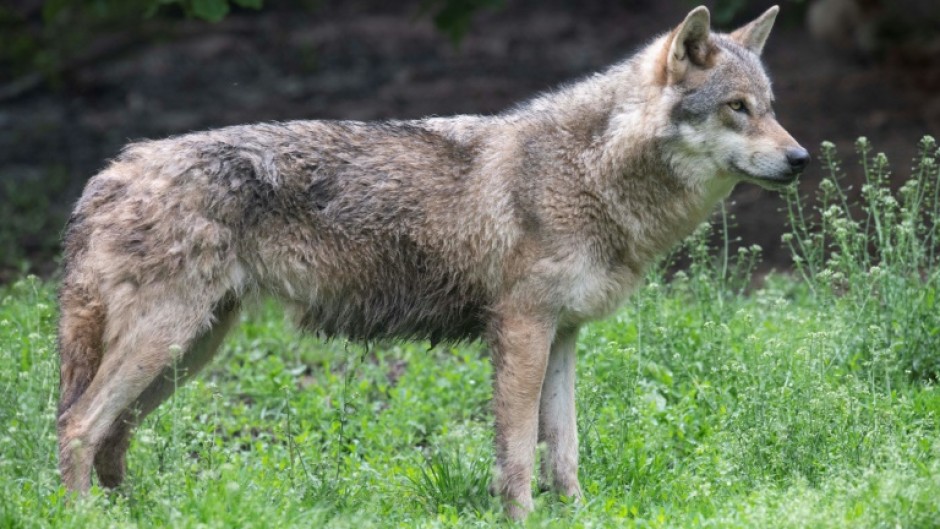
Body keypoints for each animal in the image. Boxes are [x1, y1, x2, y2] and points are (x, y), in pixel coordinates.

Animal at [56, 5, 807, 519]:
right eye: (737, 108)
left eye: (771, 108)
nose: (800, 158)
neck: (588, 172)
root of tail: (109, 173)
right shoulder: (522, 331)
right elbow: (518, 453)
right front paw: (523, 519)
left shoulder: (564, 334)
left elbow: (564, 451)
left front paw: (580, 517)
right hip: (167, 344)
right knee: (77, 427)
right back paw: (85, 516)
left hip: (189, 351)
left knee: (111, 437)